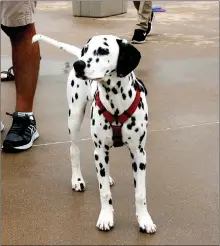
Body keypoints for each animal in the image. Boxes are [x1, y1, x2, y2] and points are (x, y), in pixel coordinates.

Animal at [32, 33, 156, 234]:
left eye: (103, 50)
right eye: (86, 50)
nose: (79, 65)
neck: (116, 104)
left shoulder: (139, 155)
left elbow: (140, 193)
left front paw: (144, 220)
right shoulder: (100, 150)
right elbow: (104, 191)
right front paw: (106, 217)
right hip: (74, 117)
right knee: (74, 150)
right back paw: (77, 180)